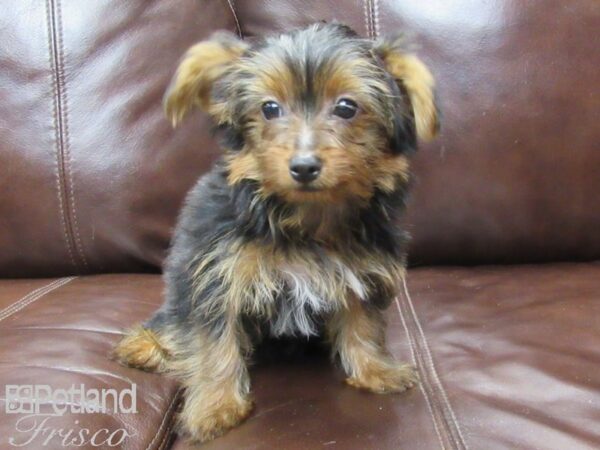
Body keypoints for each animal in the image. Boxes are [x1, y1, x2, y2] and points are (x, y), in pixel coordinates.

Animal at [113, 23, 436, 442]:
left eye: (347, 107)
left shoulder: (363, 269)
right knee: (174, 323)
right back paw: (146, 346)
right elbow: (212, 341)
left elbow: (362, 320)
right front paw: (216, 407)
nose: (303, 166)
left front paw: (375, 369)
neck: (305, 218)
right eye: (269, 108)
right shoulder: (216, 275)